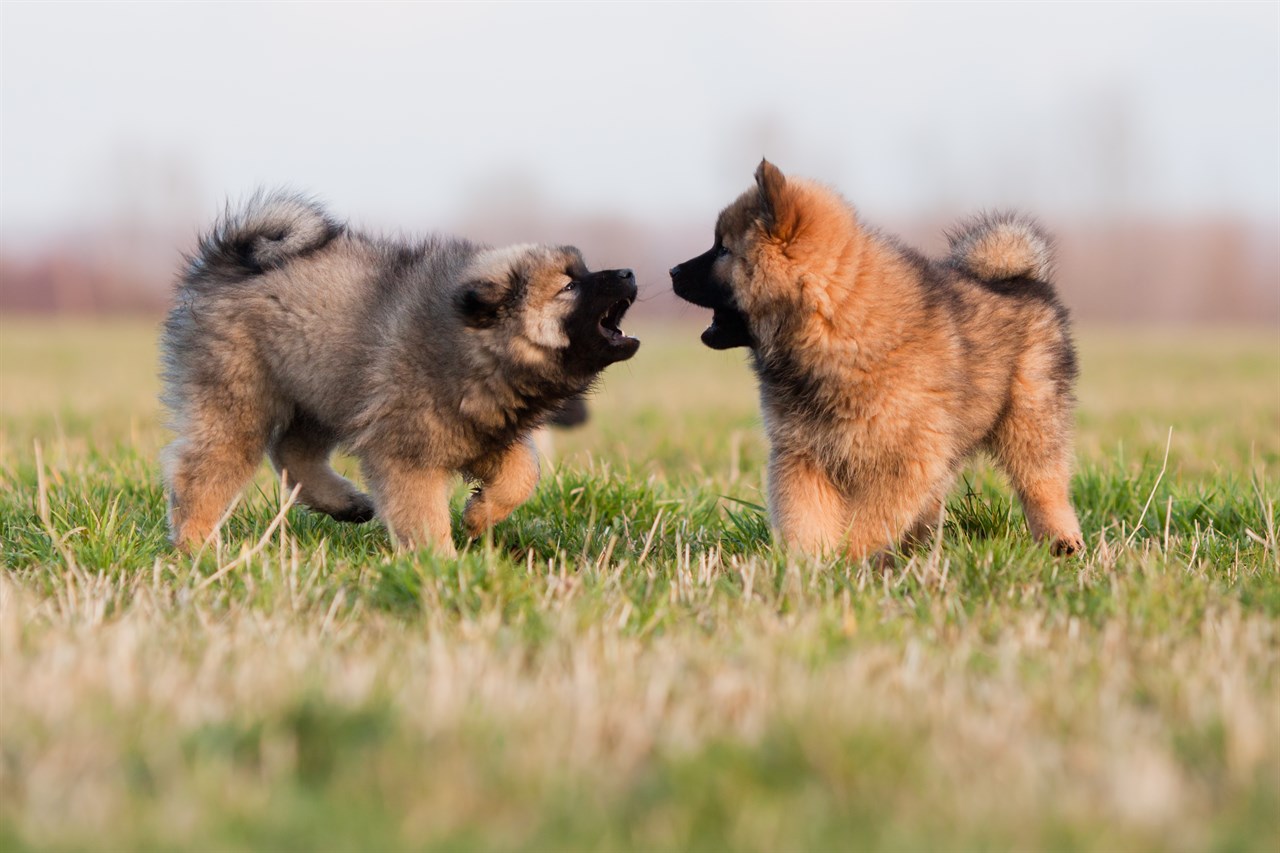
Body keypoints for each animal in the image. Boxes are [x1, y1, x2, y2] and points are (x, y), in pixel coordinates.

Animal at [160, 189, 640, 550]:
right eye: (570, 285)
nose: (629, 273)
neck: (473, 343)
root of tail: (228, 261)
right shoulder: (408, 452)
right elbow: (424, 514)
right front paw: (442, 567)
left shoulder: (480, 431)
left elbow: (524, 473)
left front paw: (479, 515)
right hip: (240, 399)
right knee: (204, 471)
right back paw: (199, 547)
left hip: (325, 387)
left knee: (292, 452)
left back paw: (345, 503)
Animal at [675, 161, 1085, 558]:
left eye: (723, 249)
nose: (673, 271)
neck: (835, 321)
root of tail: (1025, 279)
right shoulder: (803, 454)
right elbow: (804, 517)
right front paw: (806, 565)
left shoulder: (900, 461)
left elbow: (868, 522)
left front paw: (848, 560)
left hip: (1030, 420)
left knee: (1044, 486)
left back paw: (1063, 544)